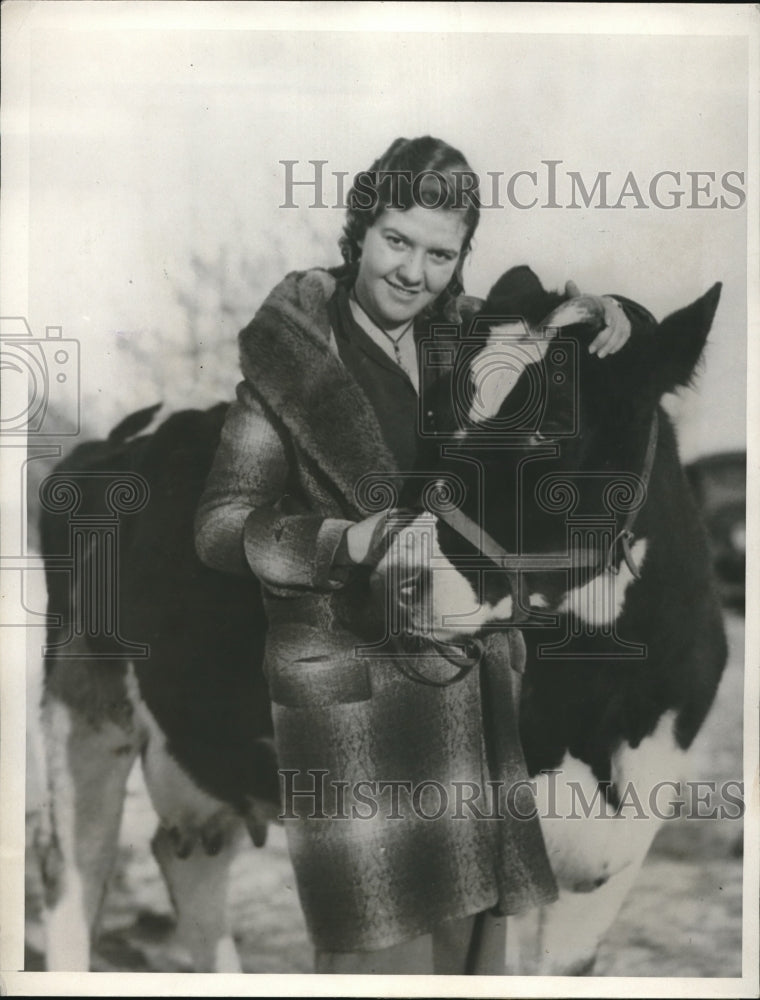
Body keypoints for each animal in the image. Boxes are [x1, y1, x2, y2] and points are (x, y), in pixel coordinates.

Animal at [35, 268, 724, 976]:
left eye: (554, 426)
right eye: (442, 414)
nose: (399, 576)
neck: (597, 711)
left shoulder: (617, 851)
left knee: (190, 858)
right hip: (80, 705)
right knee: (72, 874)